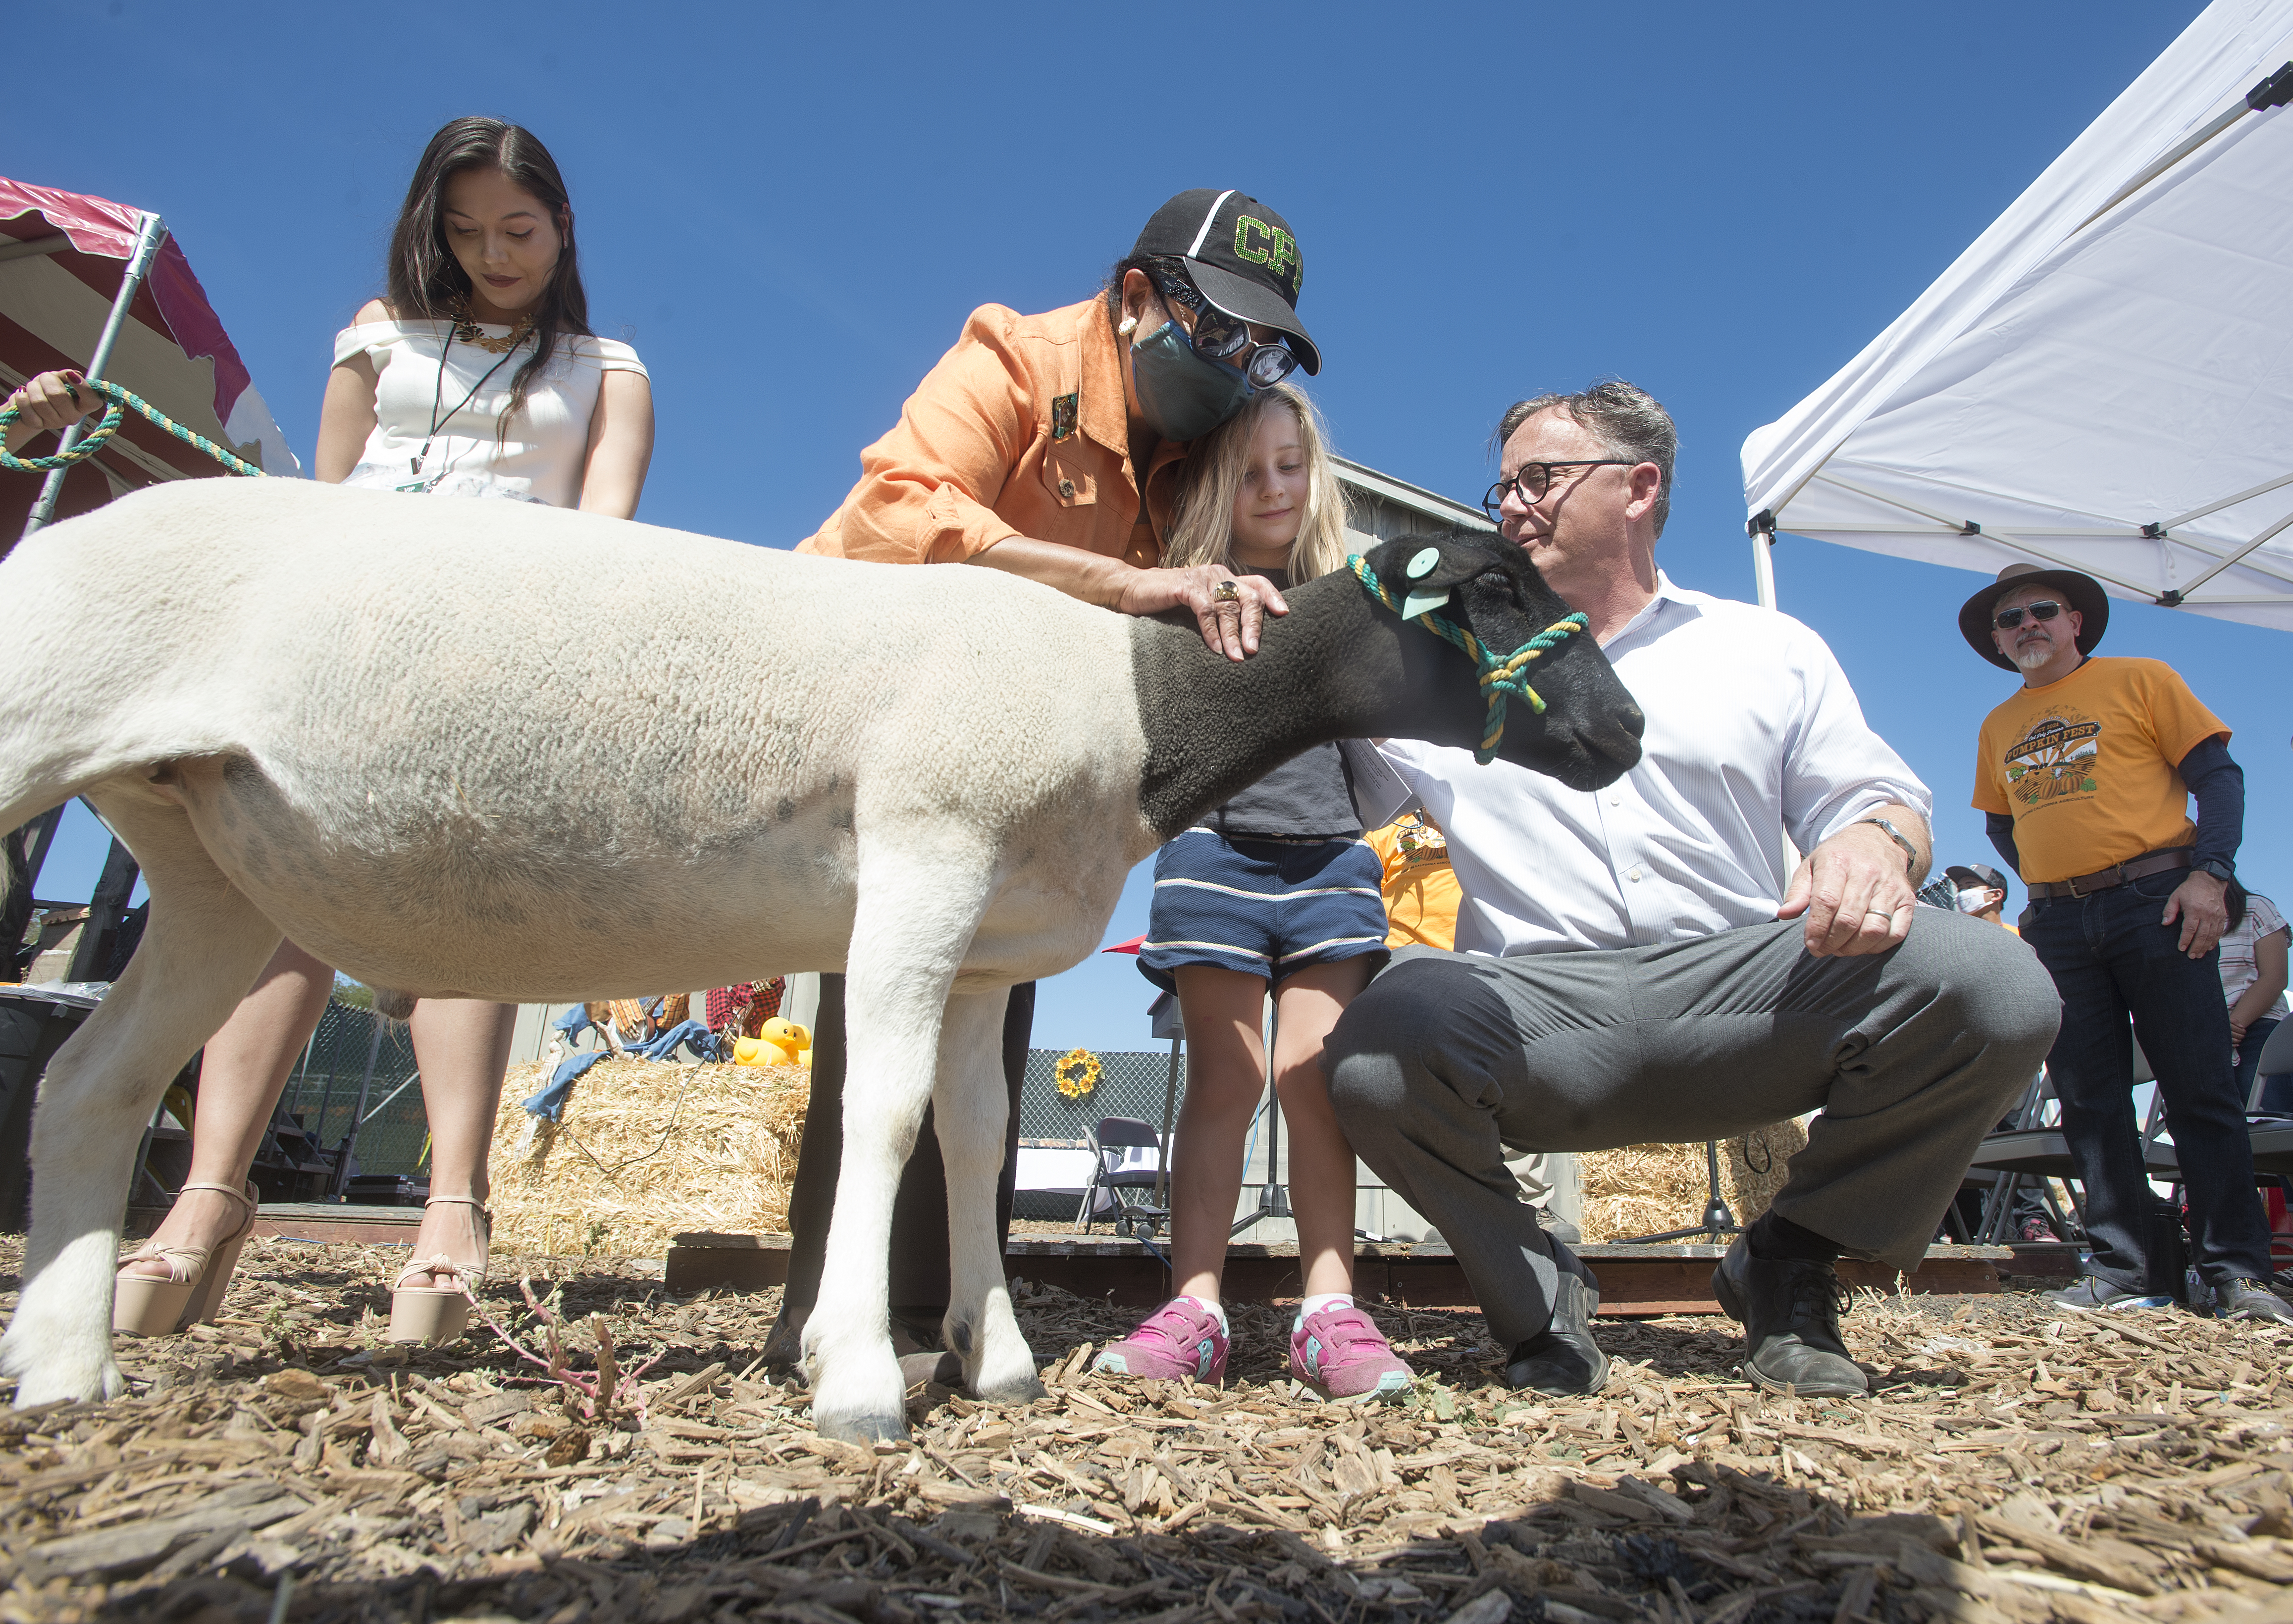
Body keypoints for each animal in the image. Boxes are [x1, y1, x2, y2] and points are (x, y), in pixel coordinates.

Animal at [0, 474, 1651, 1440]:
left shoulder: (990, 941)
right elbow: (887, 1116)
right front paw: (859, 1374)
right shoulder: (922, 866)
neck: (1131, 710)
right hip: (40, 730)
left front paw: (994, 1359)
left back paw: (66, 1372)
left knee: (88, 1086)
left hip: (205, 863)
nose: (1625, 730)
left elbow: (978, 1136)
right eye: (1494, 588)